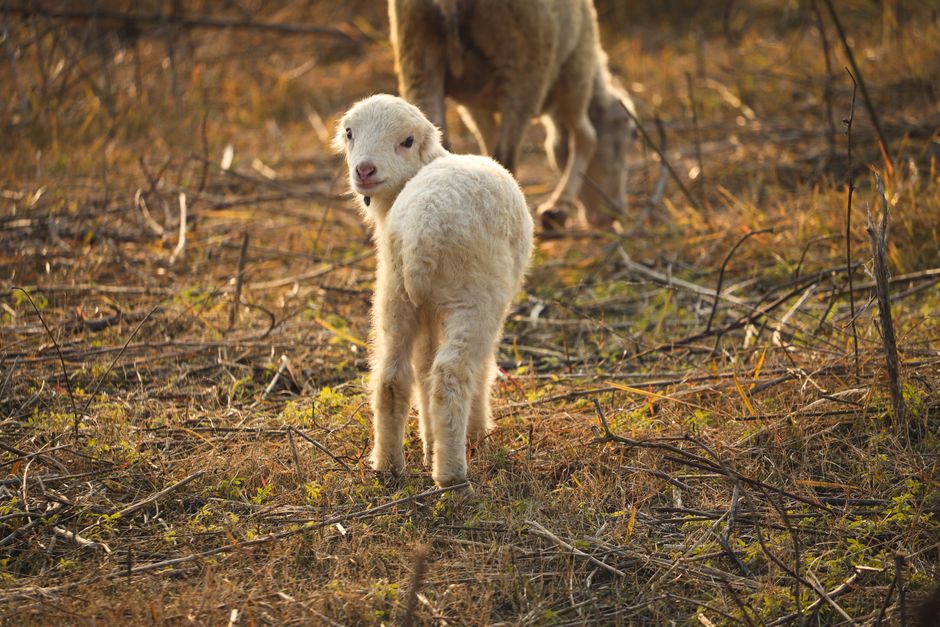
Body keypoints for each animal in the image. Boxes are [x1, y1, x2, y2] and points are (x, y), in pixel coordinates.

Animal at [333, 94, 533, 487]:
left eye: (407, 141)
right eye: (349, 133)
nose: (364, 170)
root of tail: (422, 229)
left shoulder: (423, 308)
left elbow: (422, 366)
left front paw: (428, 445)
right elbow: (478, 370)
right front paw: (475, 436)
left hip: (394, 293)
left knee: (392, 376)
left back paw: (389, 467)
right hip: (474, 298)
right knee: (450, 377)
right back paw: (452, 475)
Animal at [389, 0, 636, 232]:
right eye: (624, 139)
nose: (616, 214)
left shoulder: (474, 101)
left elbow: (487, 145)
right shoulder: (577, 67)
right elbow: (586, 138)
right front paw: (559, 209)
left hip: (417, 54)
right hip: (524, 63)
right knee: (508, 155)